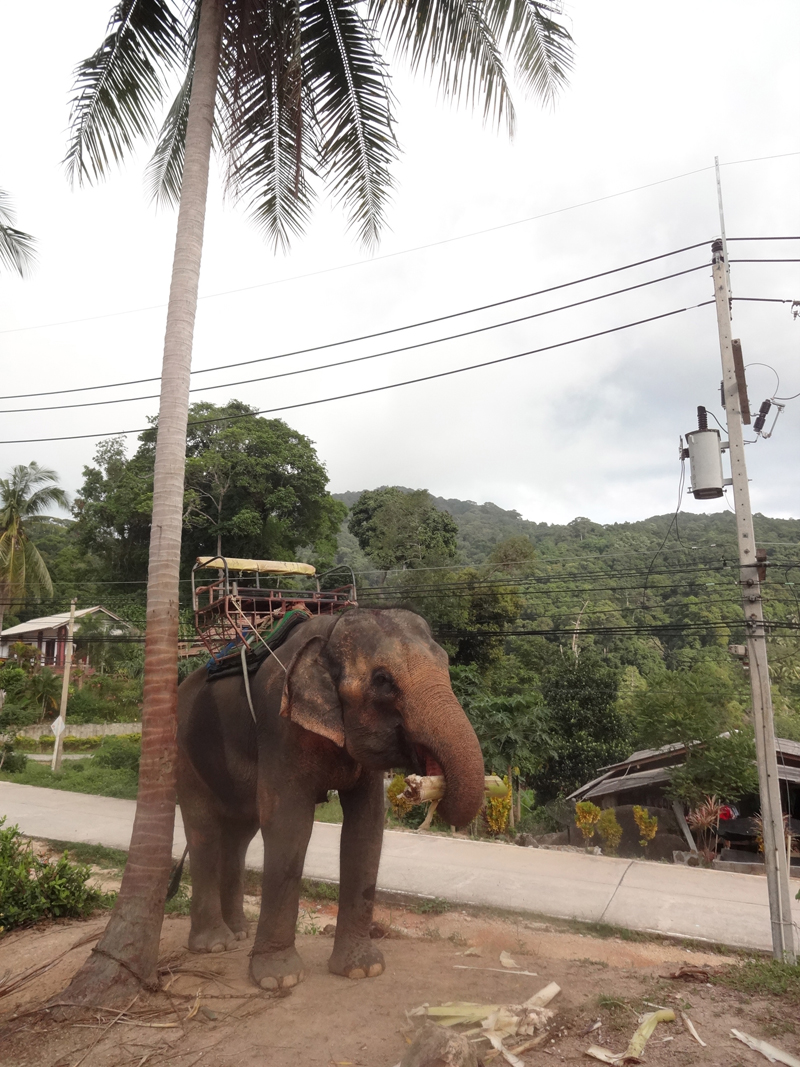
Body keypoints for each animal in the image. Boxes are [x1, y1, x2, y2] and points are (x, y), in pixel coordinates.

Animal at [176, 610, 486, 990]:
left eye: (445, 663)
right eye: (383, 680)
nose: (426, 783)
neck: (331, 629)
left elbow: (366, 827)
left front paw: (362, 971)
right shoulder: (280, 726)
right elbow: (289, 825)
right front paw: (278, 980)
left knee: (239, 835)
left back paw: (239, 935)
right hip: (184, 751)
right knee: (203, 830)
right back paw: (215, 945)